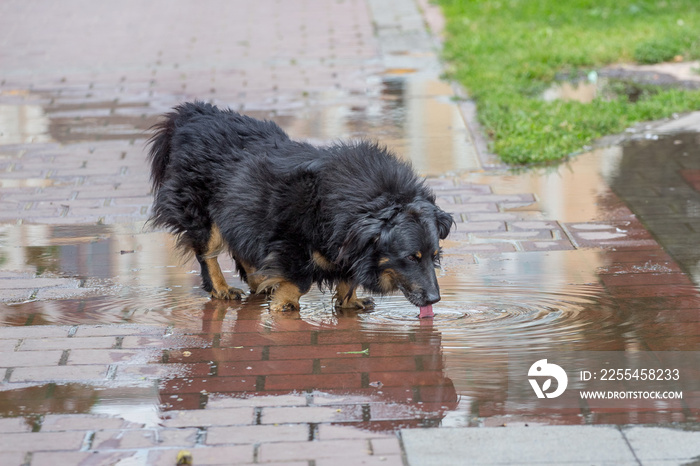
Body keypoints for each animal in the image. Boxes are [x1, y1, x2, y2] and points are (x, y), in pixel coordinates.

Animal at [148, 102, 454, 316]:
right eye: (411, 257)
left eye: (434, 256)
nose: (434, 299)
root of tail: (193, 113)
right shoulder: (291, 241)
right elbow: (299, 280)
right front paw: (284, 304)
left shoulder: (344, 243)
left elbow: (348, 277)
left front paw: (349, 301)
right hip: (201, 211)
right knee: (207, 252)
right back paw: (222, 288)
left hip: (240, 208)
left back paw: (259, 281)